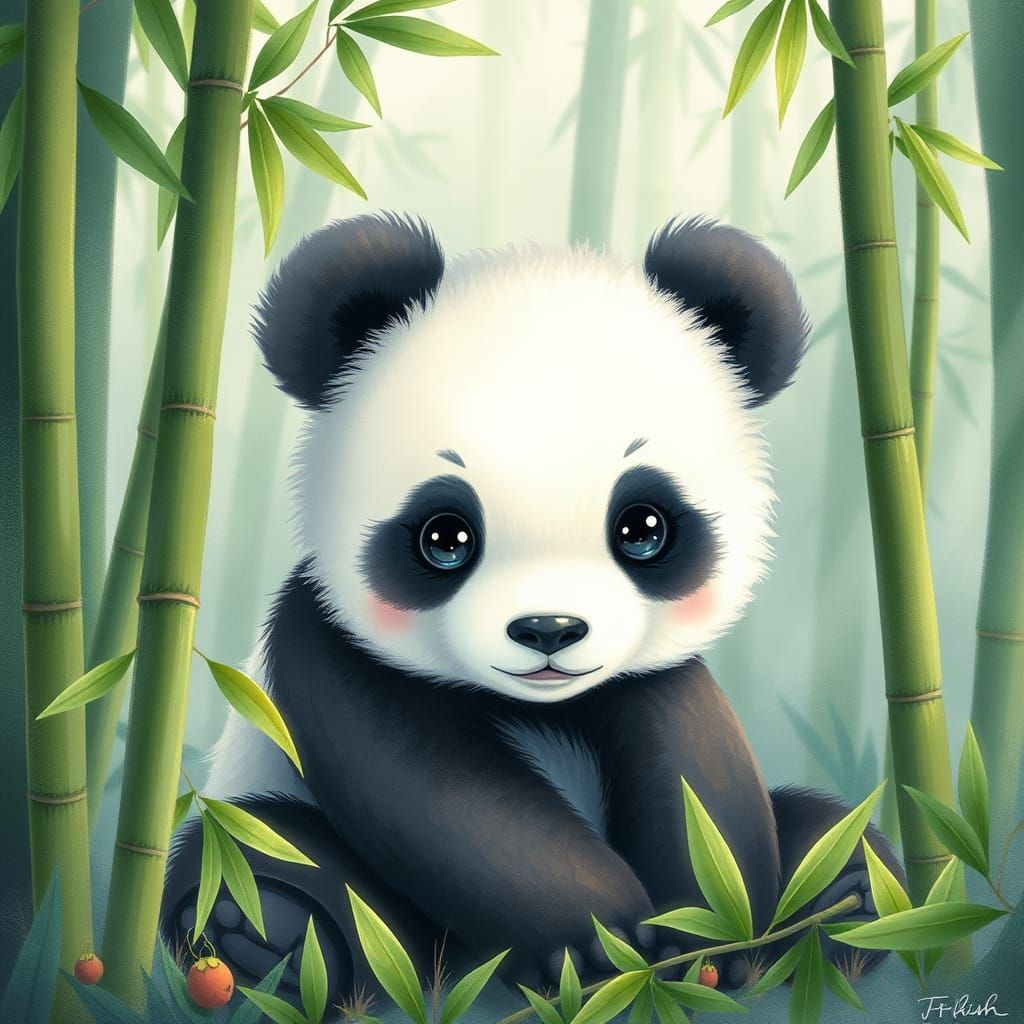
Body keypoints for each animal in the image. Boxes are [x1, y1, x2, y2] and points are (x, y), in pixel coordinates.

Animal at [162, 212, 900, 1002]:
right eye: (444, 536)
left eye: (643, 527)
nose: (550, 629)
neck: (538, 704)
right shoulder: (327, 647)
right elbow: (441, 797)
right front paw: (599, 942)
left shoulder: (651, 675)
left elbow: (700, 775)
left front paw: (706, 932)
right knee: (255, 855)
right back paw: (277, 934)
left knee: (832, 832)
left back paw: (849, 896)